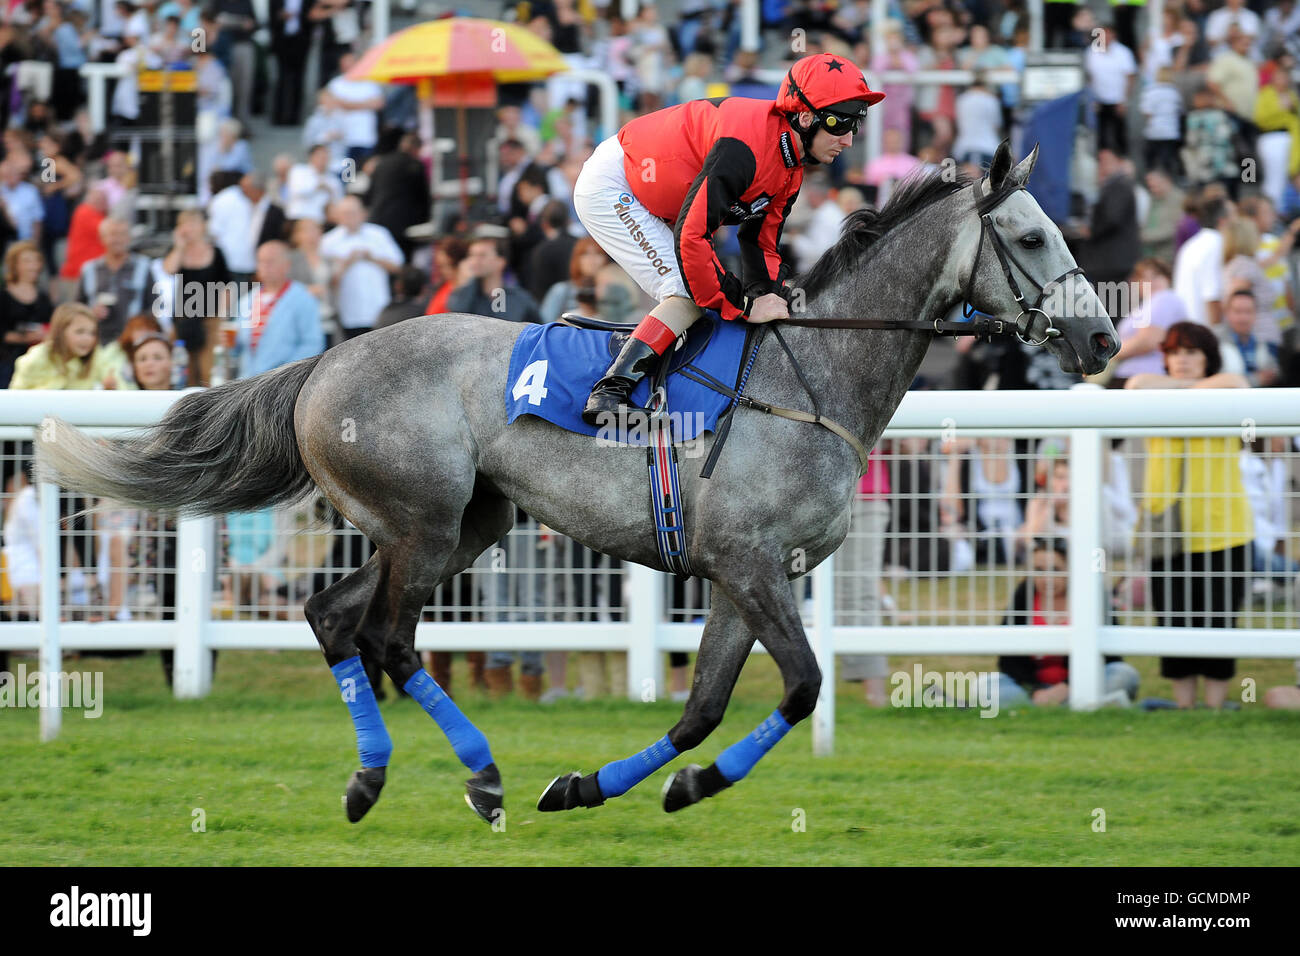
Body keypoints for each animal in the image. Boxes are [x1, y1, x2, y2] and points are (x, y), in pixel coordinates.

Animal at [35, 141, 1123, 822]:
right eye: (1032, 237)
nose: (1105, 338)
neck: (808, 374)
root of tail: (328, 360)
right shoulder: (747, 560)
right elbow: (805, 682)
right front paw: (646, 786)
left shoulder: (743, 574)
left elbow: (704, 709)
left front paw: (619, 786)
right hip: (424, 523)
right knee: (388, 636)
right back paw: (479, 778)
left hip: (463, 523)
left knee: (332, 616)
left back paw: (368, 780)